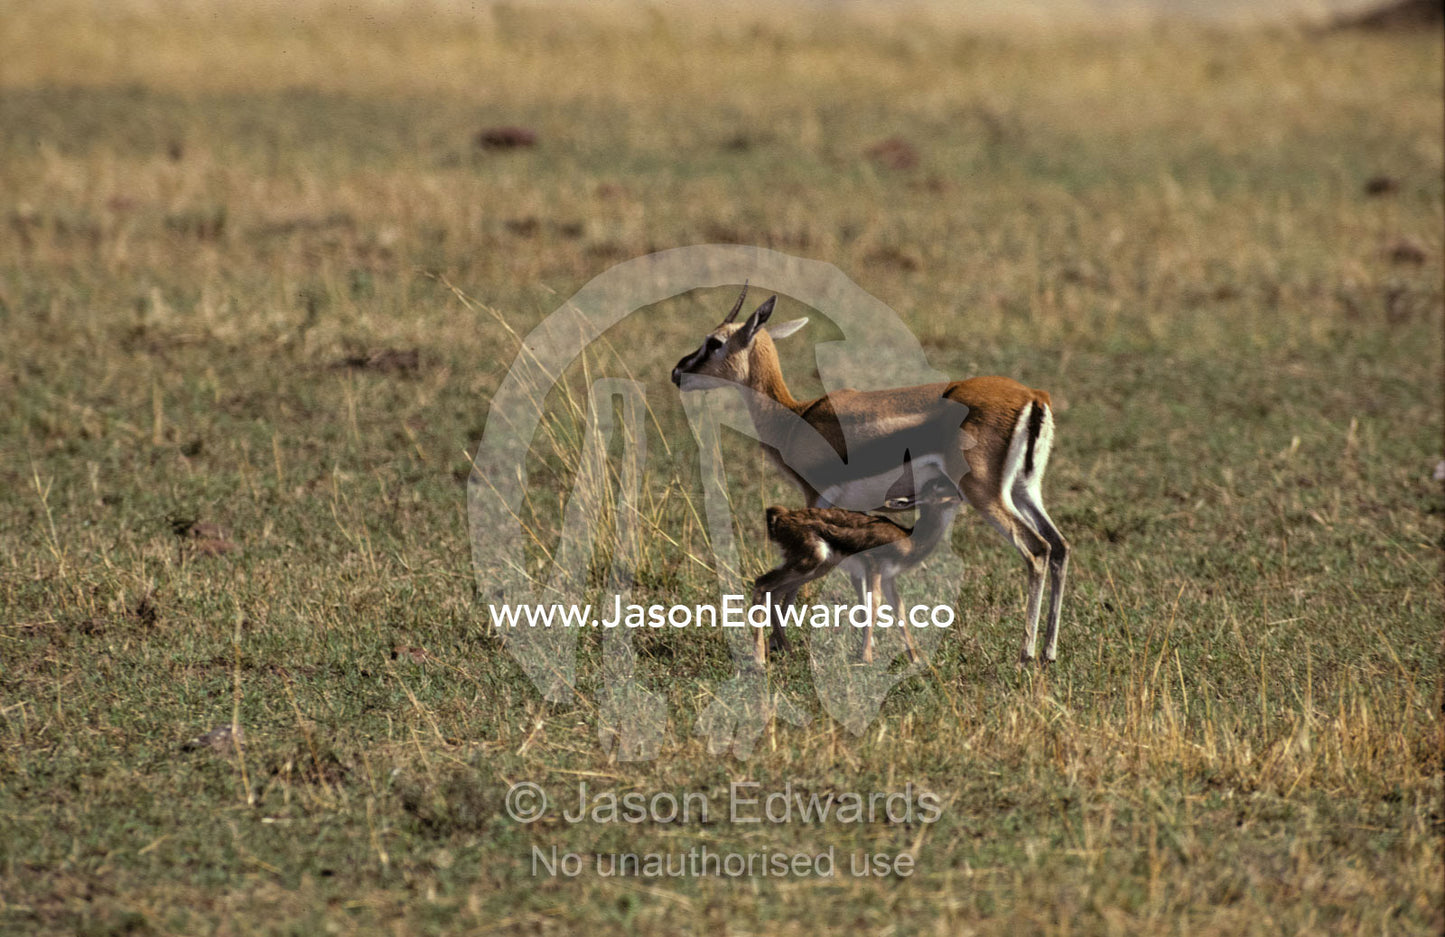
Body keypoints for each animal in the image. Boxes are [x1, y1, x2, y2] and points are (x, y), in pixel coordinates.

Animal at [754, 471, 966, 665]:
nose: (961, 496)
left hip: (814, 567)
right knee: (762, 584)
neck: (909, 540)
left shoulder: (888, 577)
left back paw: (786, 651)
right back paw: (760, 660)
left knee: (775, 592)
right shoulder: (874, 566)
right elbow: (874, 604)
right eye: (939, 486)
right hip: (810, 562)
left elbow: (899, 609)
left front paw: (916, 659)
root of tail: (781, 518)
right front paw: (867, 658)